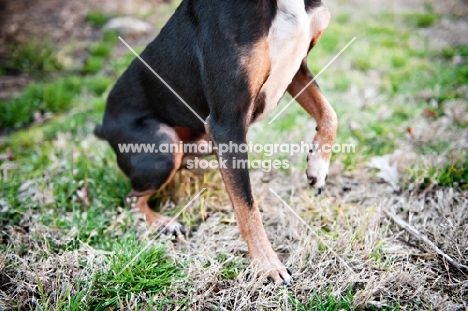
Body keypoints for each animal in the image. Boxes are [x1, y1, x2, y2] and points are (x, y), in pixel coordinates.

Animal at [95, 0, 336, 286]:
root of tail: (104, 126)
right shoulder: (227, 123)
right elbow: (247, 208)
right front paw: (268, 266)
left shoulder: (298, 68)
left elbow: (329, 114)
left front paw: (317, 168)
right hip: (164, 145)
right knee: (131, 199)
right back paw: (164, 224)